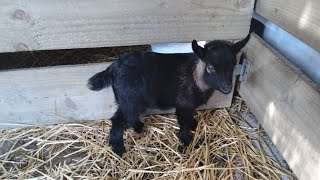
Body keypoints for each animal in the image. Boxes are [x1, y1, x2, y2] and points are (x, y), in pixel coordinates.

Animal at [87, 34, 250, 155]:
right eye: (210, 67)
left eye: (234, 65)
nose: (227, 87)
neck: (195, 76)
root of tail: (111, 69)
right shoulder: (184, 104)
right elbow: (183, 123)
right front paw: (187, 142)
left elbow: (189, 118)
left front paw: (193, 124)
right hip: (130, 100)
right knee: (119, 121)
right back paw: (119, 150)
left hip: (127, 101)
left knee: (123, 118)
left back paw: (139, 129)